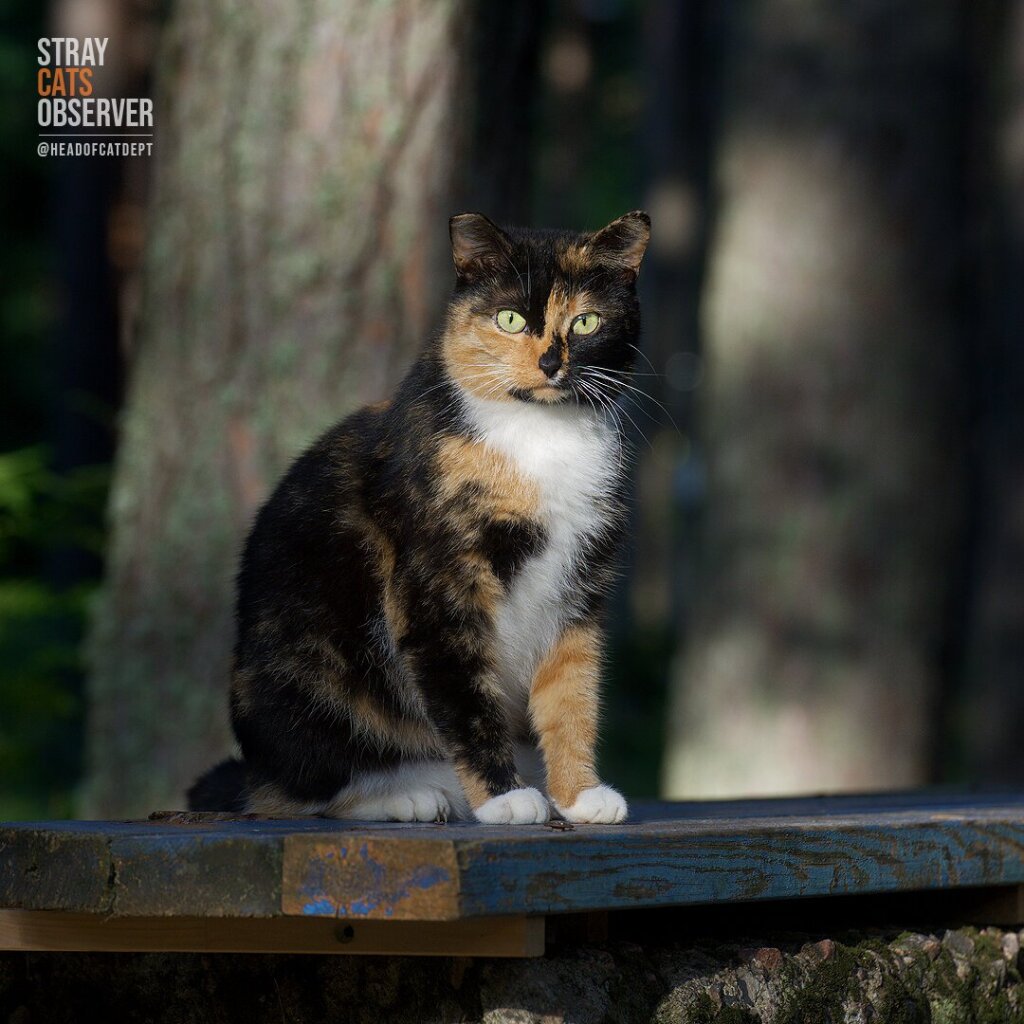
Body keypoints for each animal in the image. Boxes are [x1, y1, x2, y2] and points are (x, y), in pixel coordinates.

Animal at [189, 207, 651, 823]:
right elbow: (465, 697)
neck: (539, 438)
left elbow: (572, 691)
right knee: (296, 793)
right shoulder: (436, 583)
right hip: (304, 682)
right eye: (509, 318)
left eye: (586, 322)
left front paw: (579, 796)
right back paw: (407, 796)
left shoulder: (581, 584)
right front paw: (505, 799)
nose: (552, 363)